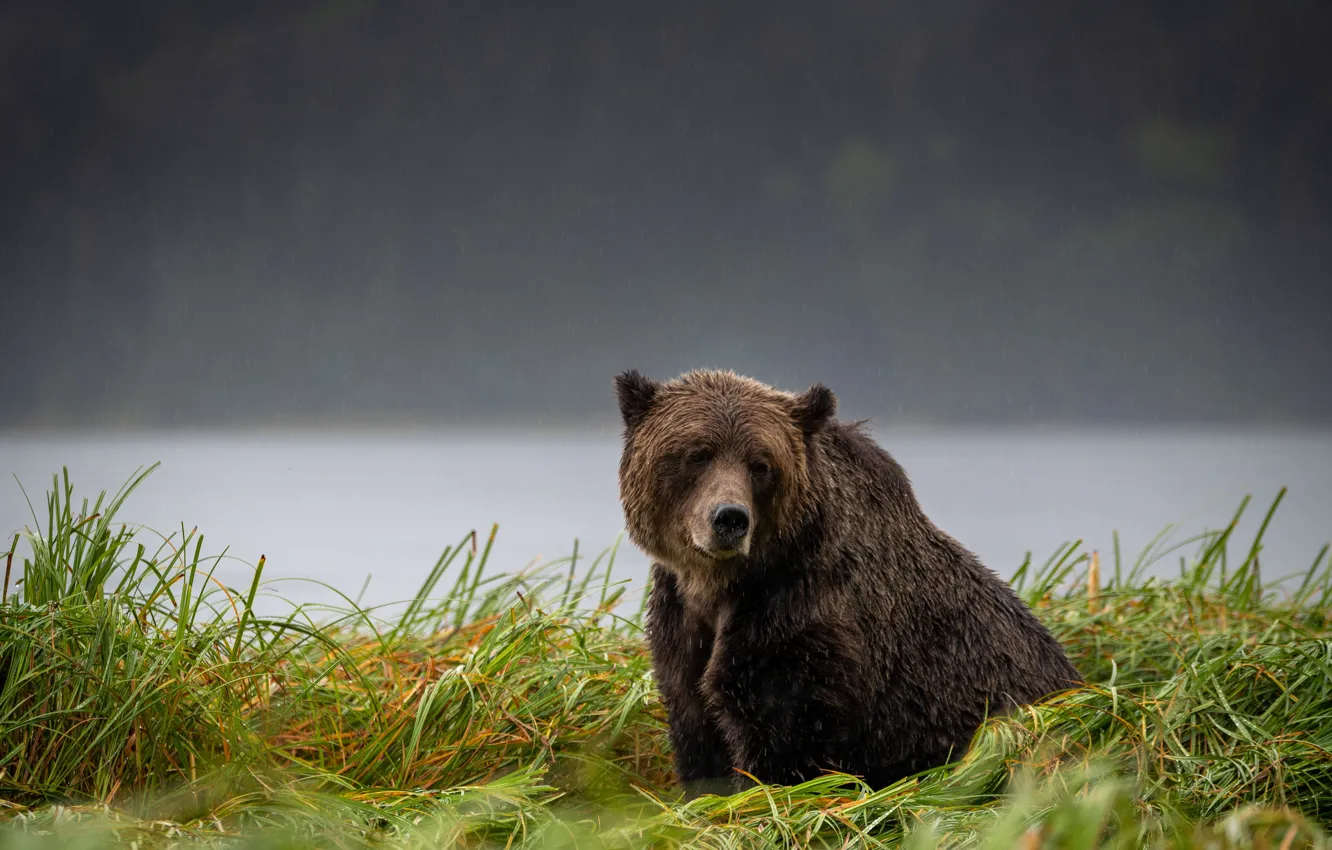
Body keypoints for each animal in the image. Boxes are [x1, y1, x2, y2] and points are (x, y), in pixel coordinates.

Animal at [612, 368, 1081, 797]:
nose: (729, 518)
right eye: (697, 454)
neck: (721, 586)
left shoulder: (798, 617)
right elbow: (696, 726)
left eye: (761, 464)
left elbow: (784, 740)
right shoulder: (680, 623)